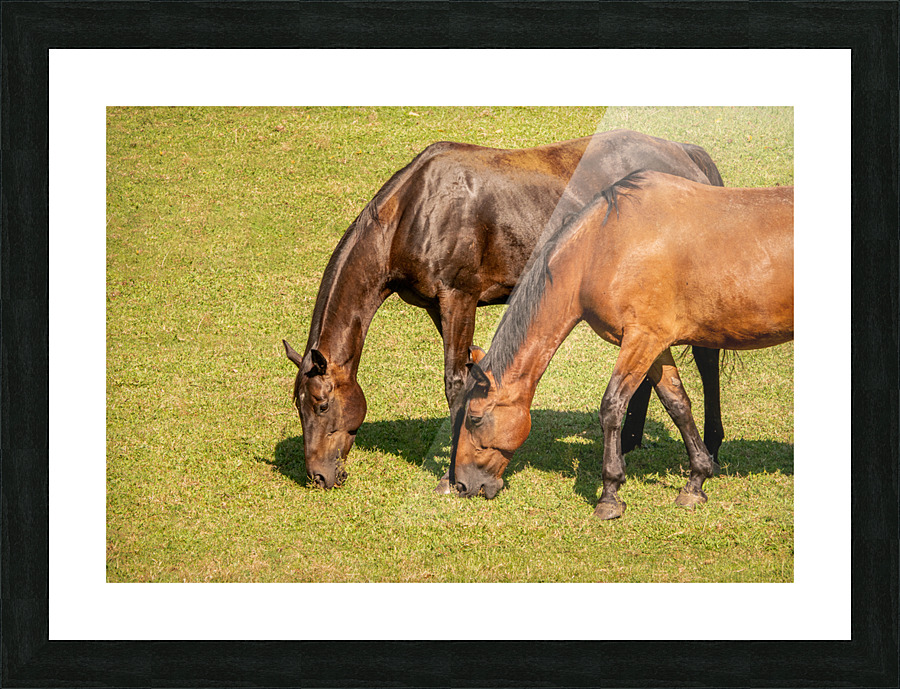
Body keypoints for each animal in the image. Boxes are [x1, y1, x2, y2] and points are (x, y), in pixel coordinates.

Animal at [283, 130, 727, 491]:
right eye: (299, 408)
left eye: (322, 405)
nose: (319, 476)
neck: (416, 209)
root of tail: (686, 153)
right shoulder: (438, 307)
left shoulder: (459, 297)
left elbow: (456, 383)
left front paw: (449, 476)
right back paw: (633, 441)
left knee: (707, 359)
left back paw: (712, 447)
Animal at [451, 170, 793, 519]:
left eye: (475, 418)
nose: (461, 485)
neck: (603, 247)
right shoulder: (656, 344)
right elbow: (678, 404)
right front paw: (696, 481)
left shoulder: (641, 339)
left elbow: (612, 407)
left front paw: (610, 494)